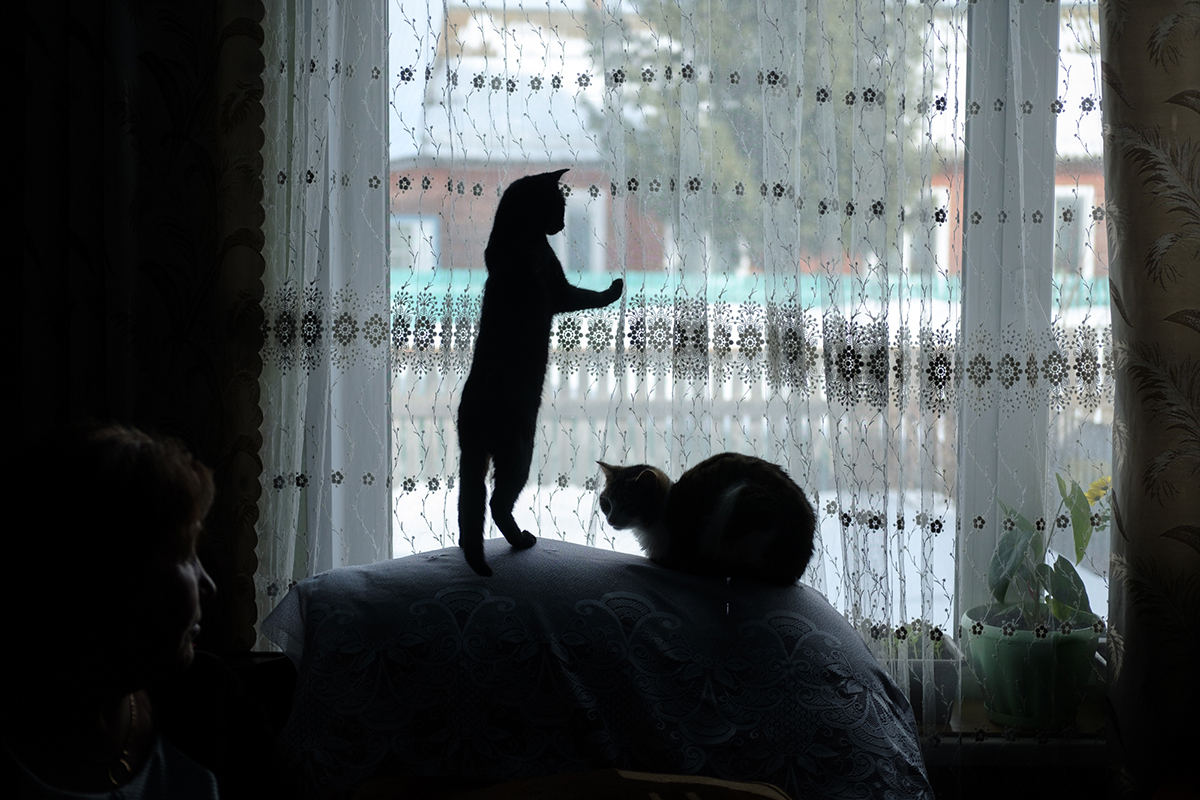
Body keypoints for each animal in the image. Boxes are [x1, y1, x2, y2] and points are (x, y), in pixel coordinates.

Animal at [457, 168, 624, 577]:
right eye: (559, 206)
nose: (562, 223)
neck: (515, 237)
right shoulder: (558, 288)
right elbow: (586, 296)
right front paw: (614, 288)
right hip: (519, 452)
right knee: (496, 503)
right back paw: (520, 541)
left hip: (471, 456)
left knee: (469, 505)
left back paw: (469, 551)